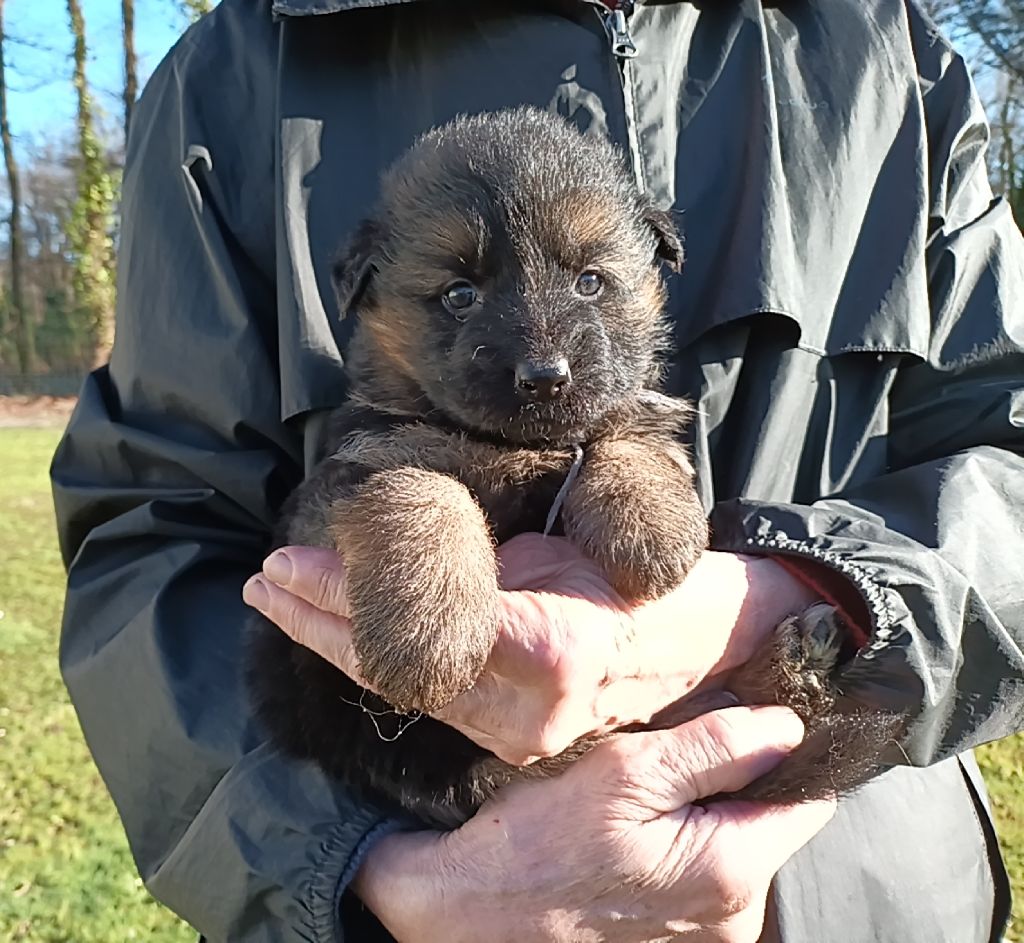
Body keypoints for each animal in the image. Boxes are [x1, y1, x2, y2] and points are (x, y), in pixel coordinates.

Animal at [249, 108, 905, 823]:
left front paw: (649, 523)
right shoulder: (336, 487)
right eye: (459, 294)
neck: (519, 445)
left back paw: (795, 666)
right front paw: (429, 631)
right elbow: (419, 489)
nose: (545, 377)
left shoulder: (628, 411)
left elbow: (632, 437)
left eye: (589, 281)